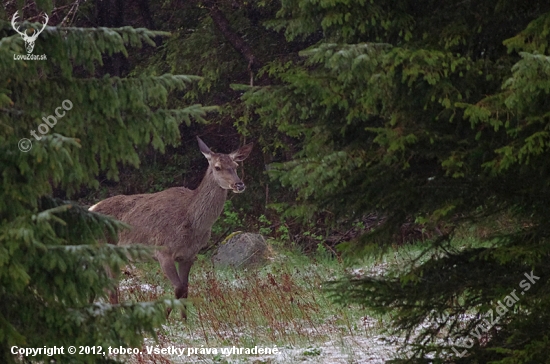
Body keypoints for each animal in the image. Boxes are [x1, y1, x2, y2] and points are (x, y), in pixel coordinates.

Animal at [90, 136, 254, 318]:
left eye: (236, 166)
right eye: (217, 167)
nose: (239, 185)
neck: (193, 224)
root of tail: (91, 208)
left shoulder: (189, 256)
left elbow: (186, 290)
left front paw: (184, 320)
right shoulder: (163, 251)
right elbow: (179, 288)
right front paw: (164, 317)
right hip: (105, 249)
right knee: (109, 289)